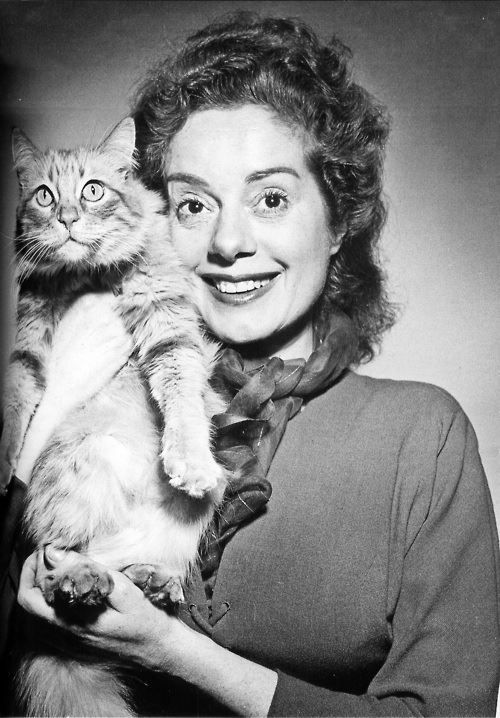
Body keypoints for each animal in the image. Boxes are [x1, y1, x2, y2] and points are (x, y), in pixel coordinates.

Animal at [1, 118, 227, 716]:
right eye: (45, 196)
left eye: (93, 190)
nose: (67, 219)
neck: (85, 277)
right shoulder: (29, 345)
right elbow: (14, 405)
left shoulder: (168, 320)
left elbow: (181, 392)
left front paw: (189, 459)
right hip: (82, 469)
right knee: (54, 556)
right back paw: (84, 581)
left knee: (108, 561)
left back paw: (150, 581)